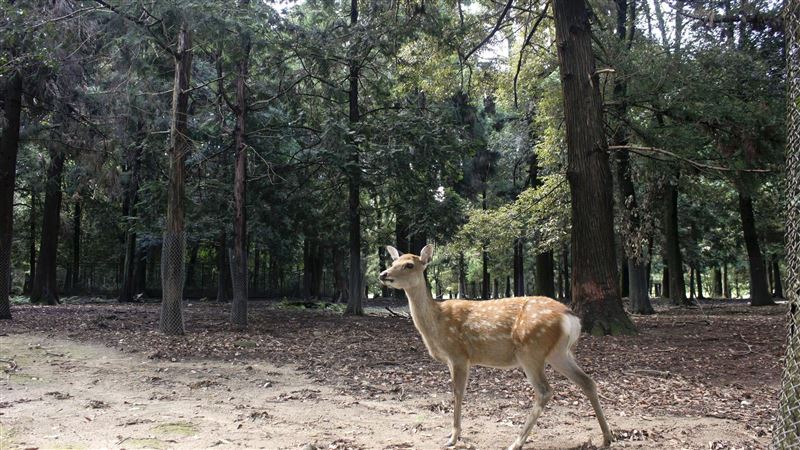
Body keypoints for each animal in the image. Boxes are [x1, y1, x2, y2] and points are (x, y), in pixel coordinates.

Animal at [379, 245, 613, 450]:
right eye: (393, 261)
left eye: (409, 264)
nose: (383, 274)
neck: (436, 323)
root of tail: (571, 318)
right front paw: (452, 434)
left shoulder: (459, 354)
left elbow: (458, 392)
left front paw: (453, 437)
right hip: (559, 353)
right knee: (587, 381)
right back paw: (607, 437)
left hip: (531, 350)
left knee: (545, 391)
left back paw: (517, 442)